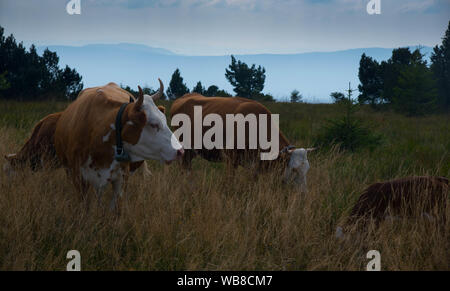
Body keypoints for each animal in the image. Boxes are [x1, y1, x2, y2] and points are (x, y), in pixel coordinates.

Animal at [171, 93, 314, 193]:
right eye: (294, 169)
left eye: (307, 170)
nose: (304, 193)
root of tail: (186, 96)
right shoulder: (231, 159)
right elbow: (229, 182)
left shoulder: (255, 165)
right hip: (184, 150)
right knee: (185, 169)